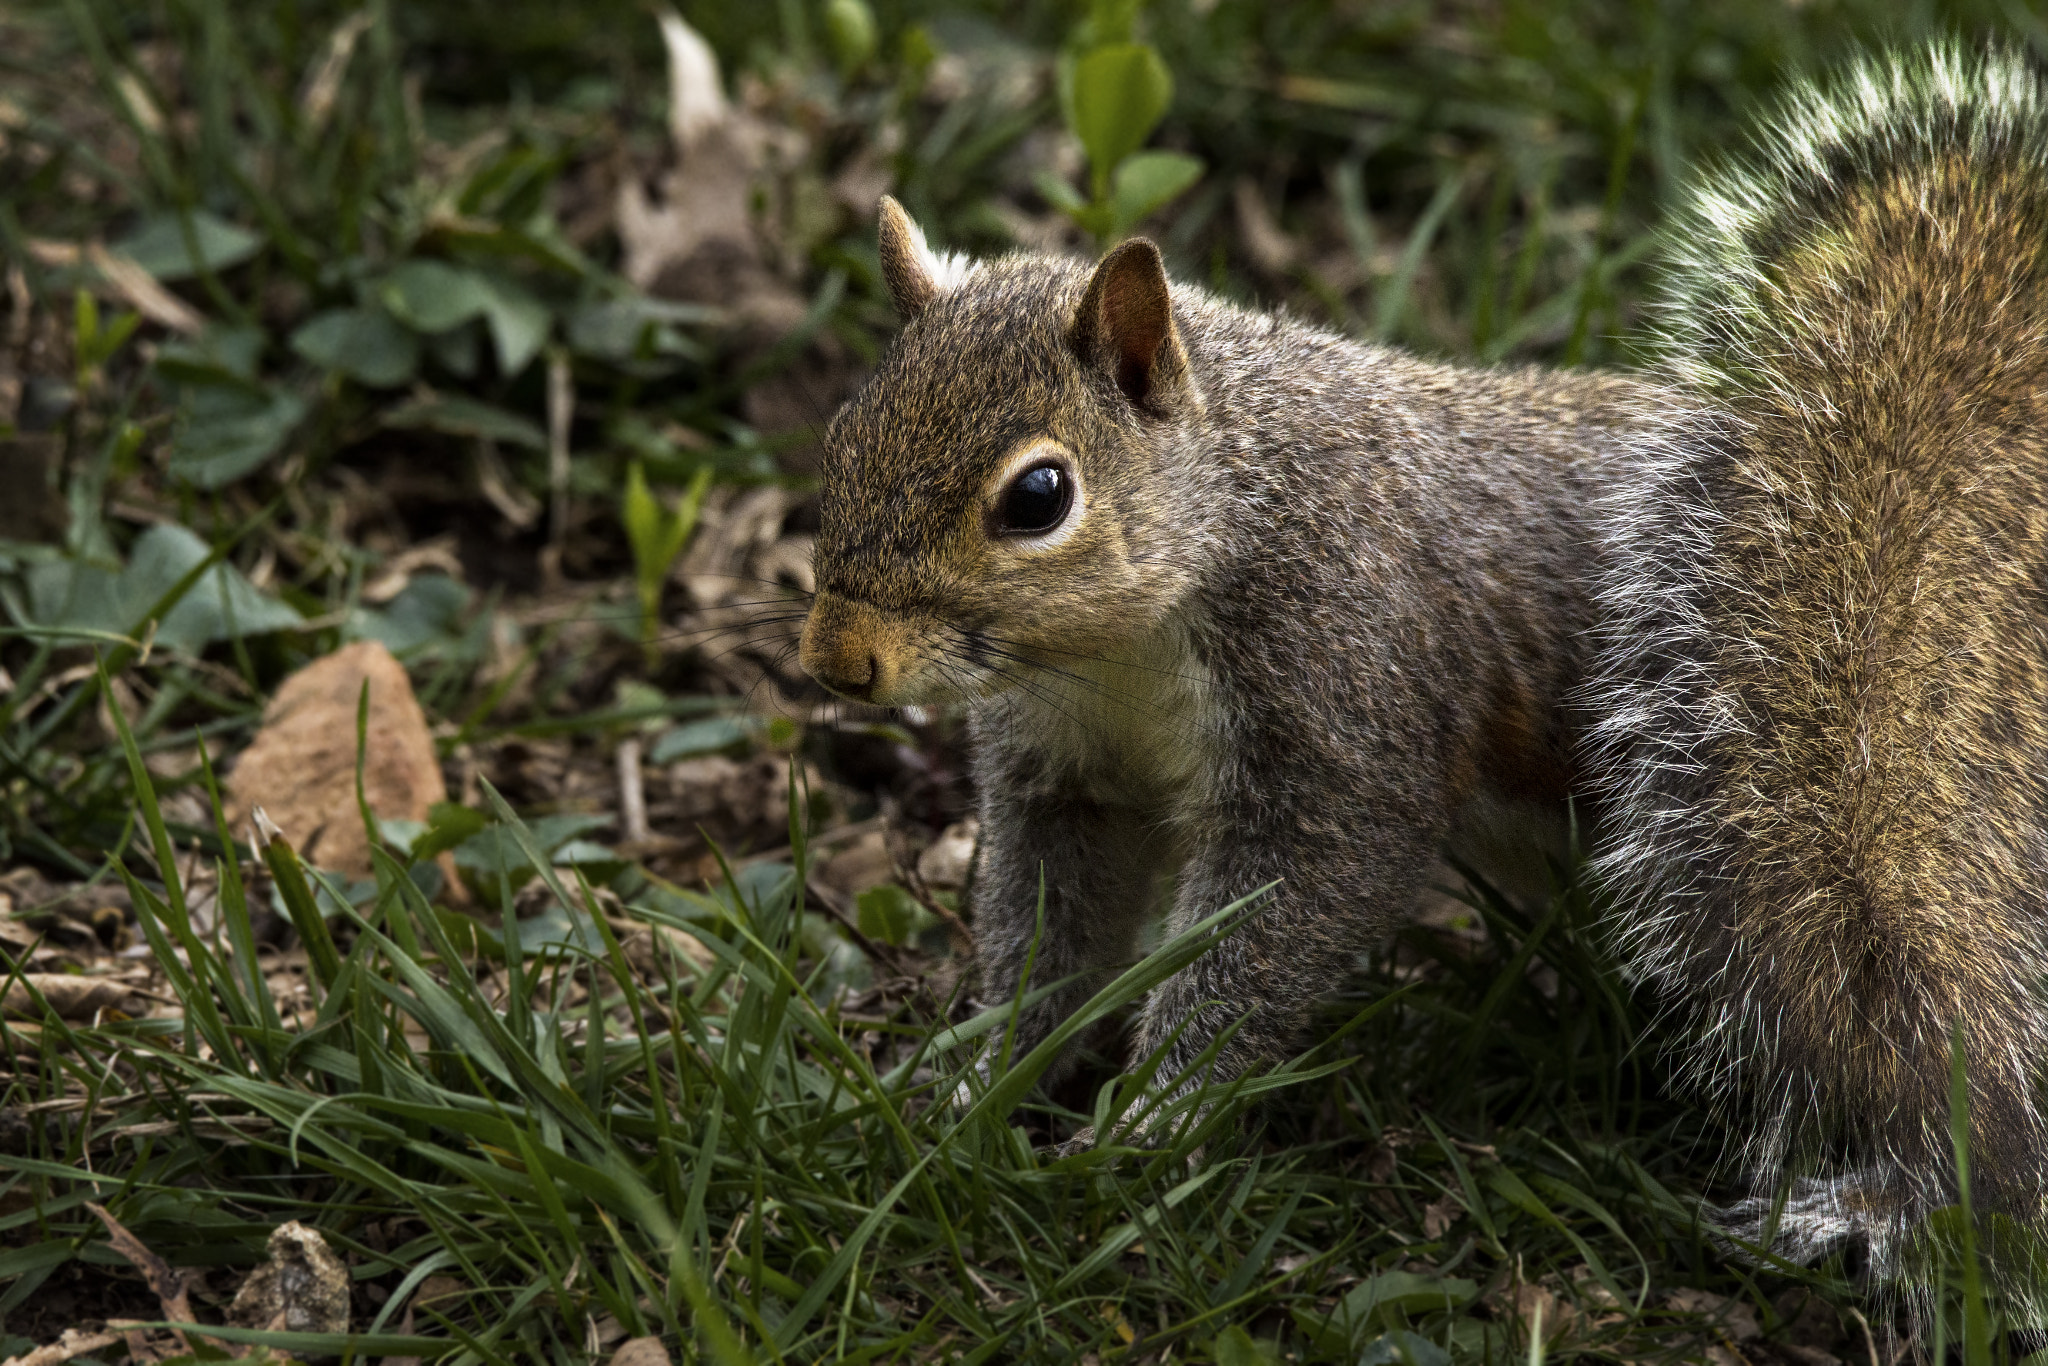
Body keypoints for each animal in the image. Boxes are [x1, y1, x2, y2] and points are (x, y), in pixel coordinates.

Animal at [794, 40, 2048, 1286]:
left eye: (1039, 496)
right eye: (841, 435)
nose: (836, 663)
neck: (1119, 648)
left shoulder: (1347, 694)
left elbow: (1268, 934)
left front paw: (1149, 1119)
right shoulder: (1068, 771)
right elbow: (1051, 935)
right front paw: (978, 1079)